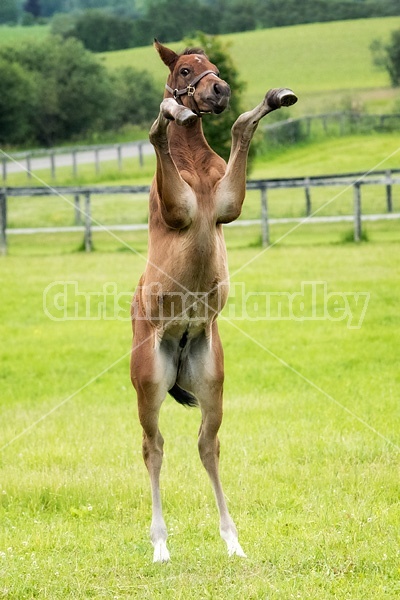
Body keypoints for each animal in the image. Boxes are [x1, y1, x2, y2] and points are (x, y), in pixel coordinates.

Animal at [131, 41, 296, 564]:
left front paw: (277, 97)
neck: (196, 169)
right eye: (185, 70)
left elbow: (243, 126)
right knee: (154, 448)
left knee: (207, 446)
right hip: (149, 384)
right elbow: (155, 132)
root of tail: (181, 346)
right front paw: (172, 111)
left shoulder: (227, 204)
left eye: (214, 67)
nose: (218, 90)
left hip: (210, 382)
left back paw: (233, 540)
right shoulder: (175, 209)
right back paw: (160, 546)